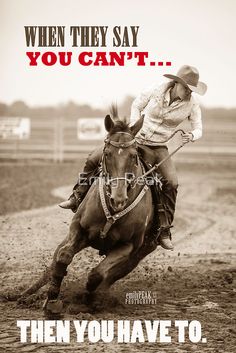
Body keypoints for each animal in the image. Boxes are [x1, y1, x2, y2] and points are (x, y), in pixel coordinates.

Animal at [24, 113, 160, 314]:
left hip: (139, 253)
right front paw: (52, 299)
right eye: (107, 153)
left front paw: (88, 298)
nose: (118, 199)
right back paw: (23, 295)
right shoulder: (78, 227)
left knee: (111, 276)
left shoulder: (127, 246)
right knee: (54, 261)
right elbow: (63, 256)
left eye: (134, 156)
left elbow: (97, 274)